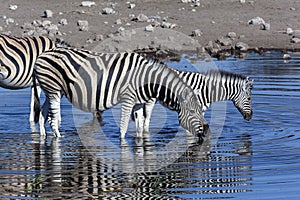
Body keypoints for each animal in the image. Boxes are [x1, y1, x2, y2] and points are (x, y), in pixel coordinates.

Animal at [32, 48, 206, 138]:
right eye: (192, 112)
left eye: (201, 111)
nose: (205, 133)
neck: (146, 79)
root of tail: (42, 55)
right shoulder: (128, 99)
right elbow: (123, 127)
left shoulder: (138, 102)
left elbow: (139, 126)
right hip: (53, 89)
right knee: (53, 119)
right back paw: (58, 138)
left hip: (51, 90)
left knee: (42, 112)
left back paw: (42, 136)